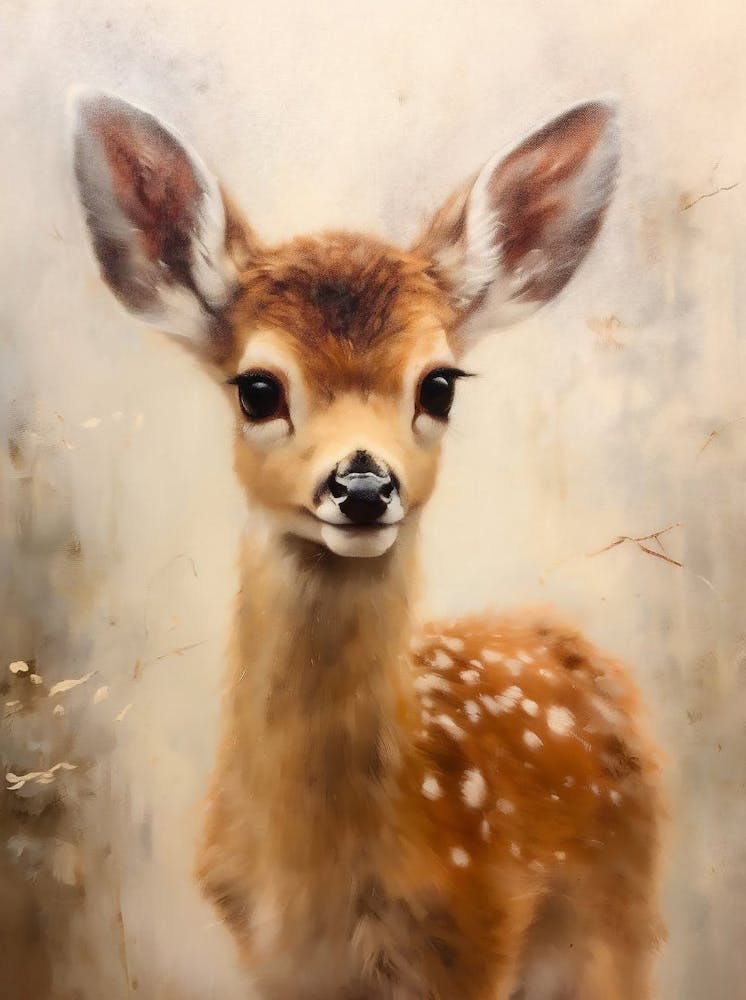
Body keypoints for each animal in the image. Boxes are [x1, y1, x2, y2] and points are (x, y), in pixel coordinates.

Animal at [70, 88, 664, 1000]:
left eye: (439, 384)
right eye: (257, 388)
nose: (360, 485)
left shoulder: (476, 936)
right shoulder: (268, 959)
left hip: (616, 916)